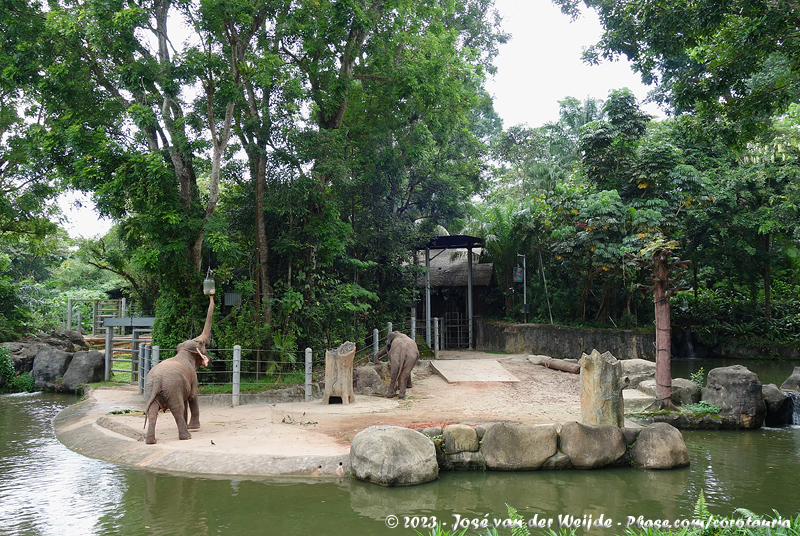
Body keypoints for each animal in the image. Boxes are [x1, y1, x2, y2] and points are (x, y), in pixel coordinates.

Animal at [144, 296, 212, 446]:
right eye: (202, 343)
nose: (210, 294)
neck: (184, 352)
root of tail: (157, 380)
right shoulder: (192, 377)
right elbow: (192, 396)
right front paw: (194, 427)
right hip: (172, 388)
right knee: (177, 408)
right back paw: (187, 437)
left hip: (150, 389)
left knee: (152, 410)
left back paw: (151, 441)